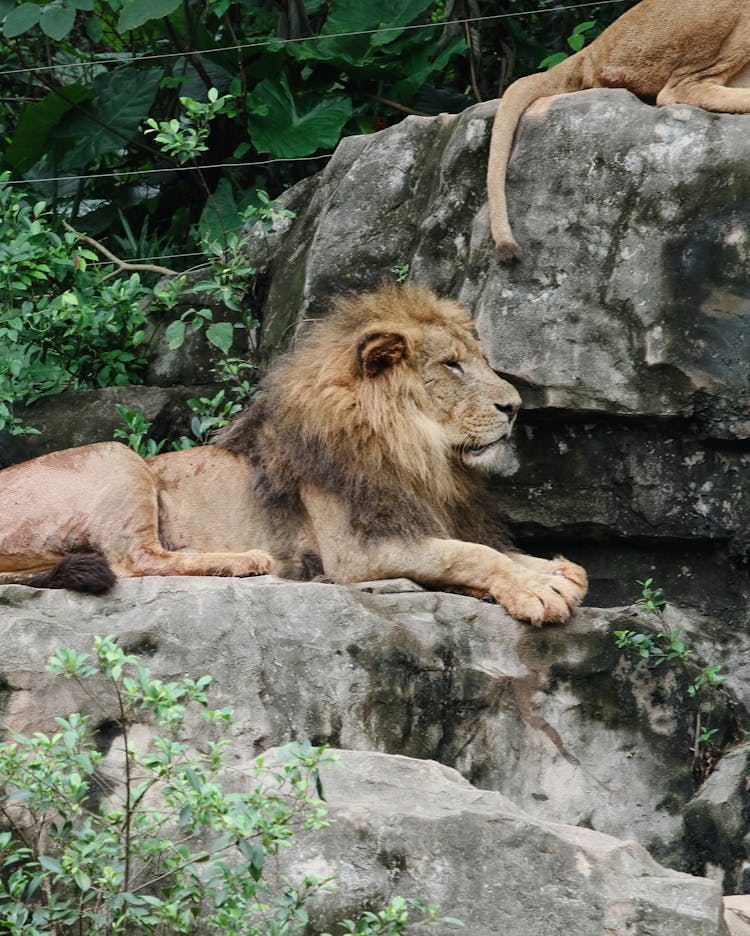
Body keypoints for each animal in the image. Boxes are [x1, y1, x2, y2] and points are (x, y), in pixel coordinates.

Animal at [0, 282, 588, 624]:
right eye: (451, 366)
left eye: (479, 362)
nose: (515, 407)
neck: (418, 453)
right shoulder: (356, 552)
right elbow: (470, 553)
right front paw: (539, 589)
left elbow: (492, 550)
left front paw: (557, 571)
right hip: (116, 455)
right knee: (135, 559)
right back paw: (248, 561)